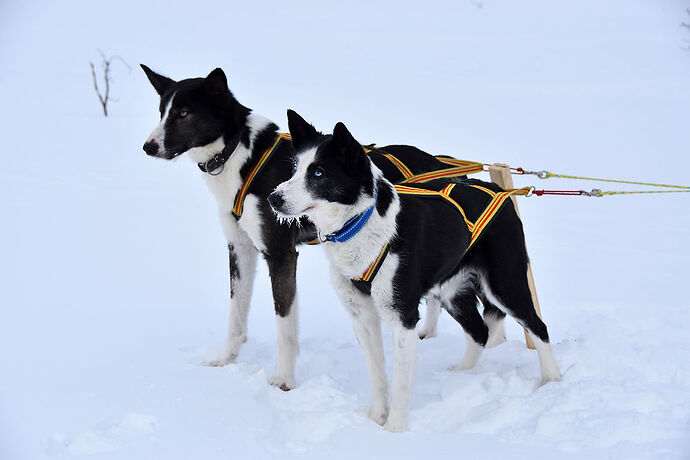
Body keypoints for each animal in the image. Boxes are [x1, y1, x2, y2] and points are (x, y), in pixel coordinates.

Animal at [268, 112, 560, 432]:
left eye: (319, 173)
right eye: (295, 169)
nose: (274, 198)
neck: (361, 224)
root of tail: (499, 191)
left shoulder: (403, 317)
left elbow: (400, 383)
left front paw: (394, 429)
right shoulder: (362, 318)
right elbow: (378, 375)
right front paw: (376, 419)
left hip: (505, 284)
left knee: (538, 326)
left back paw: (552, 380)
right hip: (452, 292)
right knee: (479, 331)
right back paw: (462, 374)